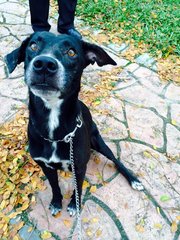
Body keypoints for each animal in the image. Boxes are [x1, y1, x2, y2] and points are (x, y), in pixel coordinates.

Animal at [5, 31, 143, 218]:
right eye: (33, 46)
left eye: (71, 52)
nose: (44, 64)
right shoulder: (46, 166)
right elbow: (55, 186)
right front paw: (57, 203)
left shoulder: (79, 166)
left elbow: (78, 188)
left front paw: (73, 205)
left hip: (98, 142)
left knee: (116, 160)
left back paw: (133, 180)